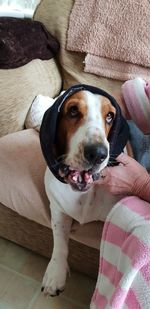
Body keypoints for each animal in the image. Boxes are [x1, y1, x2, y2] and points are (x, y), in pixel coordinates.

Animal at [39, 84, 130, 296]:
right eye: (73, 110)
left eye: (110, 116)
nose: (98, 154)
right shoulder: (58, 210)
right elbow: (59, 241)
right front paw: (55, 274)